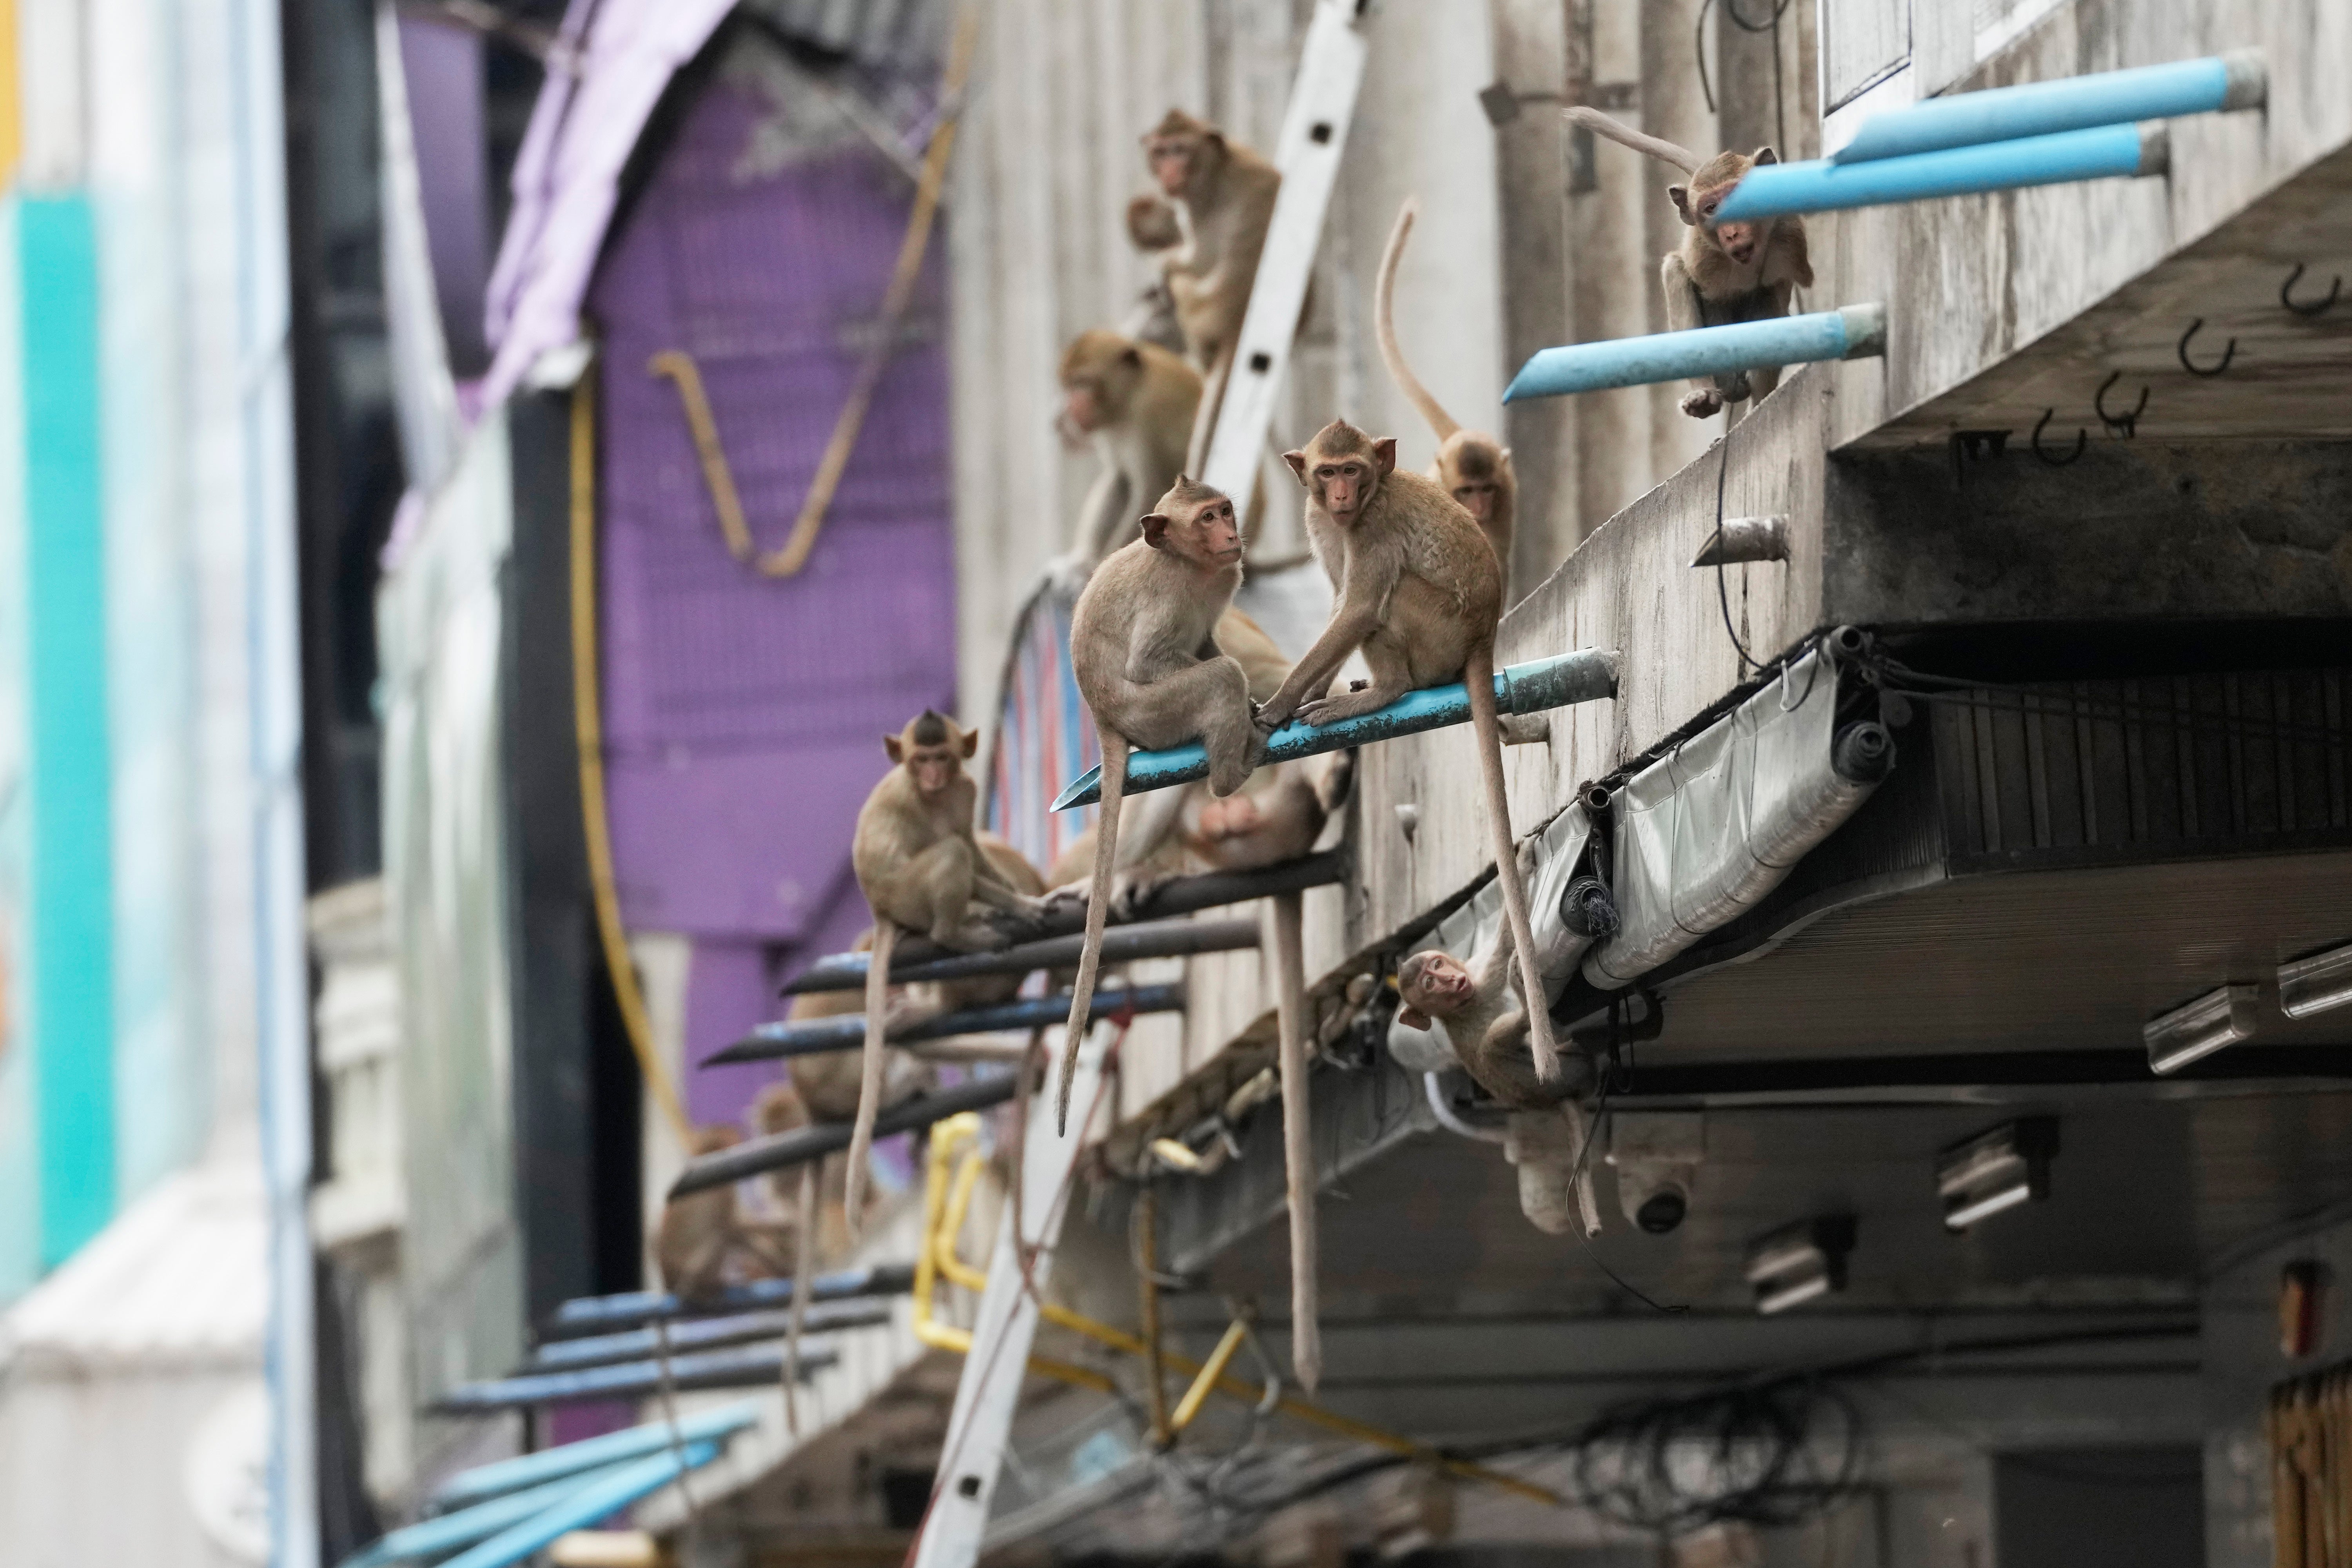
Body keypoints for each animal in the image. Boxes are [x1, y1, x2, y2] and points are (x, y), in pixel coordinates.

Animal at [846, 711, 1048, 1228]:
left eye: (942, 757)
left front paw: (1027, 900)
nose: (934, 777)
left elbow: (975, 848)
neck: (935, 795)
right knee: (950, 856)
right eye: (921, 761)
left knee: (961, 849)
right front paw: (1019, 905)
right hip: (908, 895)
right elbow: (961, 855)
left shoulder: (965, 791)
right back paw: (955, 932)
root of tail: (881, 911)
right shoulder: (912, 804)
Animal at [1051, 330, 1203, 588]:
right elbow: (1121, 480)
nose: (1071, 408)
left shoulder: (1148, 414)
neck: (1130, 394)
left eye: (1084, 383)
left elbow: (1151, 491)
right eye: (1070, 385)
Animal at [1262, 420, 1562, 1094]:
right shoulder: (1323, 525)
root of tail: (1483, 636)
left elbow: (1356, 609)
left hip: (1437, 628)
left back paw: (1384, 690)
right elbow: (1337, 601)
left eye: (1353, 470)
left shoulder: (1372, 529)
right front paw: (1304, 696)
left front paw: (1278, 704)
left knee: (1387, 600)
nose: (1342, 495)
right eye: (1327, 473)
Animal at [1561, 107, 1814, 420]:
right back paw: (1705, 394)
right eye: (1712, 208)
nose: (1732, 232)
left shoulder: (1789, 241)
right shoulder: (1704, 259)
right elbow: (1712, 300)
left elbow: (1772, 300)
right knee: (1675, 271)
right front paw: (1727, 384)